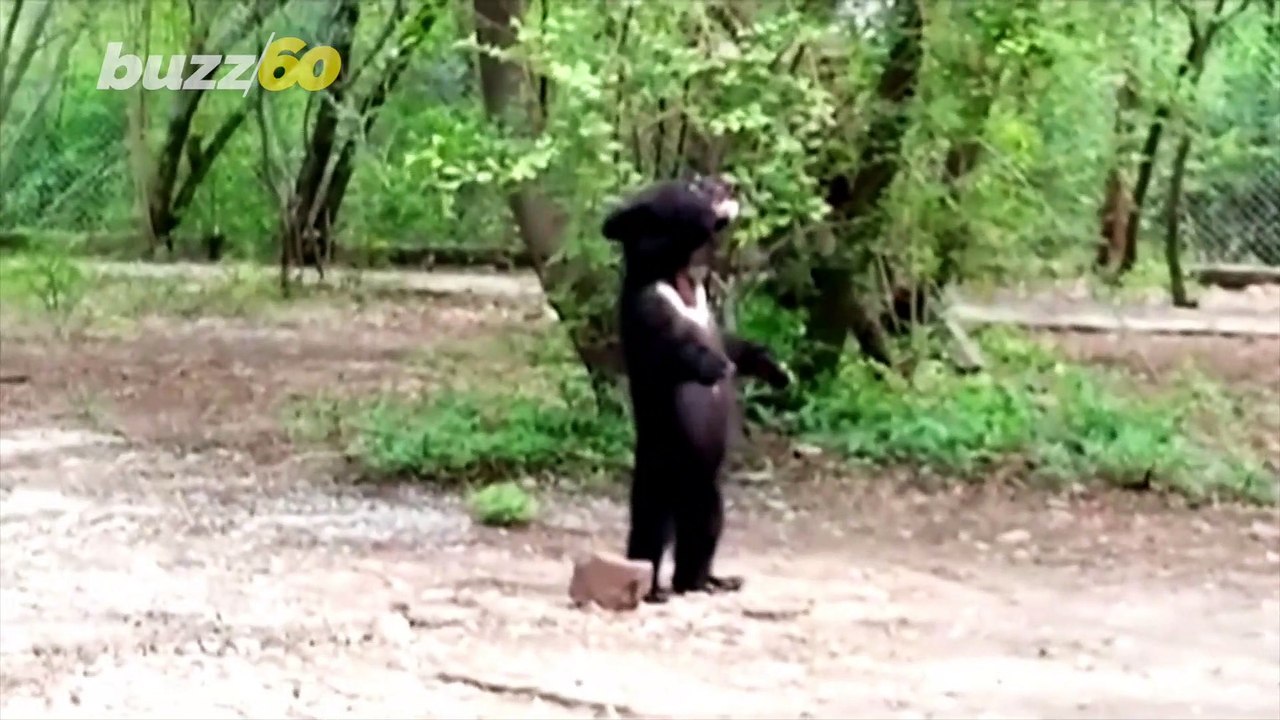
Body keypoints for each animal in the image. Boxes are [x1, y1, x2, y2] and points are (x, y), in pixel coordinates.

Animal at [601, 175, 791, 604]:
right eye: (693, 184)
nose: (730, 184)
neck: (677, 272)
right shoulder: (648, 310)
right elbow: (677, 350)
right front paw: (717, 367)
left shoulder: (706, 306)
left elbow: (733, 342)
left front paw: (778, 370)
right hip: (661, 470)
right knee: (651, 531)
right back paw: (653, 588)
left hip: (706, 492)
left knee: (703, 531)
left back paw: (709, 581)